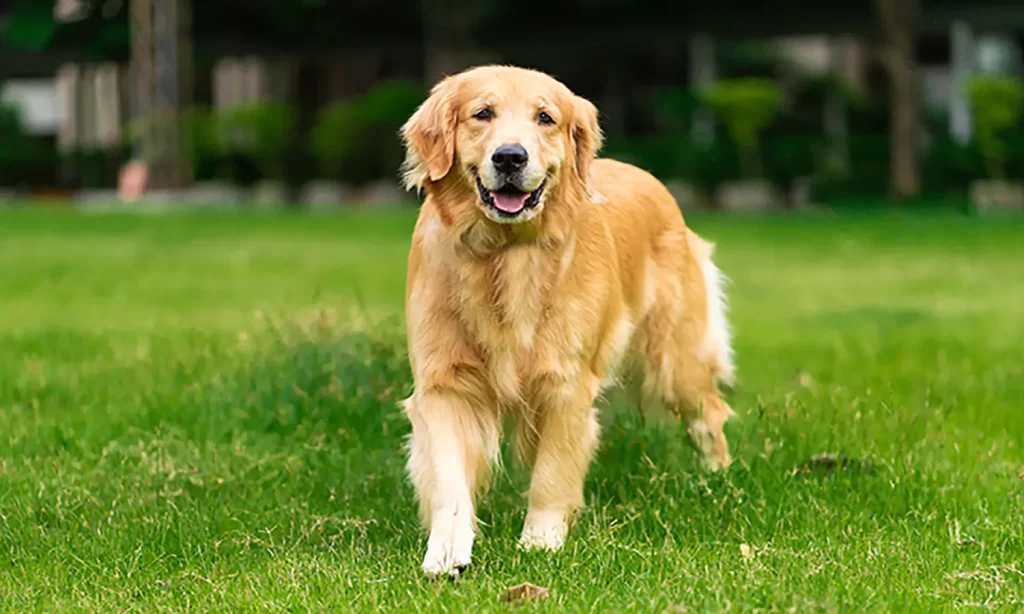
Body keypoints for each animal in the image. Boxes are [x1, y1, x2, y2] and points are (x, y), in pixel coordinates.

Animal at [399, 64, 737, 577]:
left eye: (545, 117)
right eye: (482, 113)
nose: (510, 157)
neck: (505, 255)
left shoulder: (565, 383)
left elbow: (552, 472)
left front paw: (540, 541)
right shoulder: (445, 382)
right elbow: (448, 474)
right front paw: (447, 549)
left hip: (675, 362)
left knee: (709, 414)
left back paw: (716, 480)